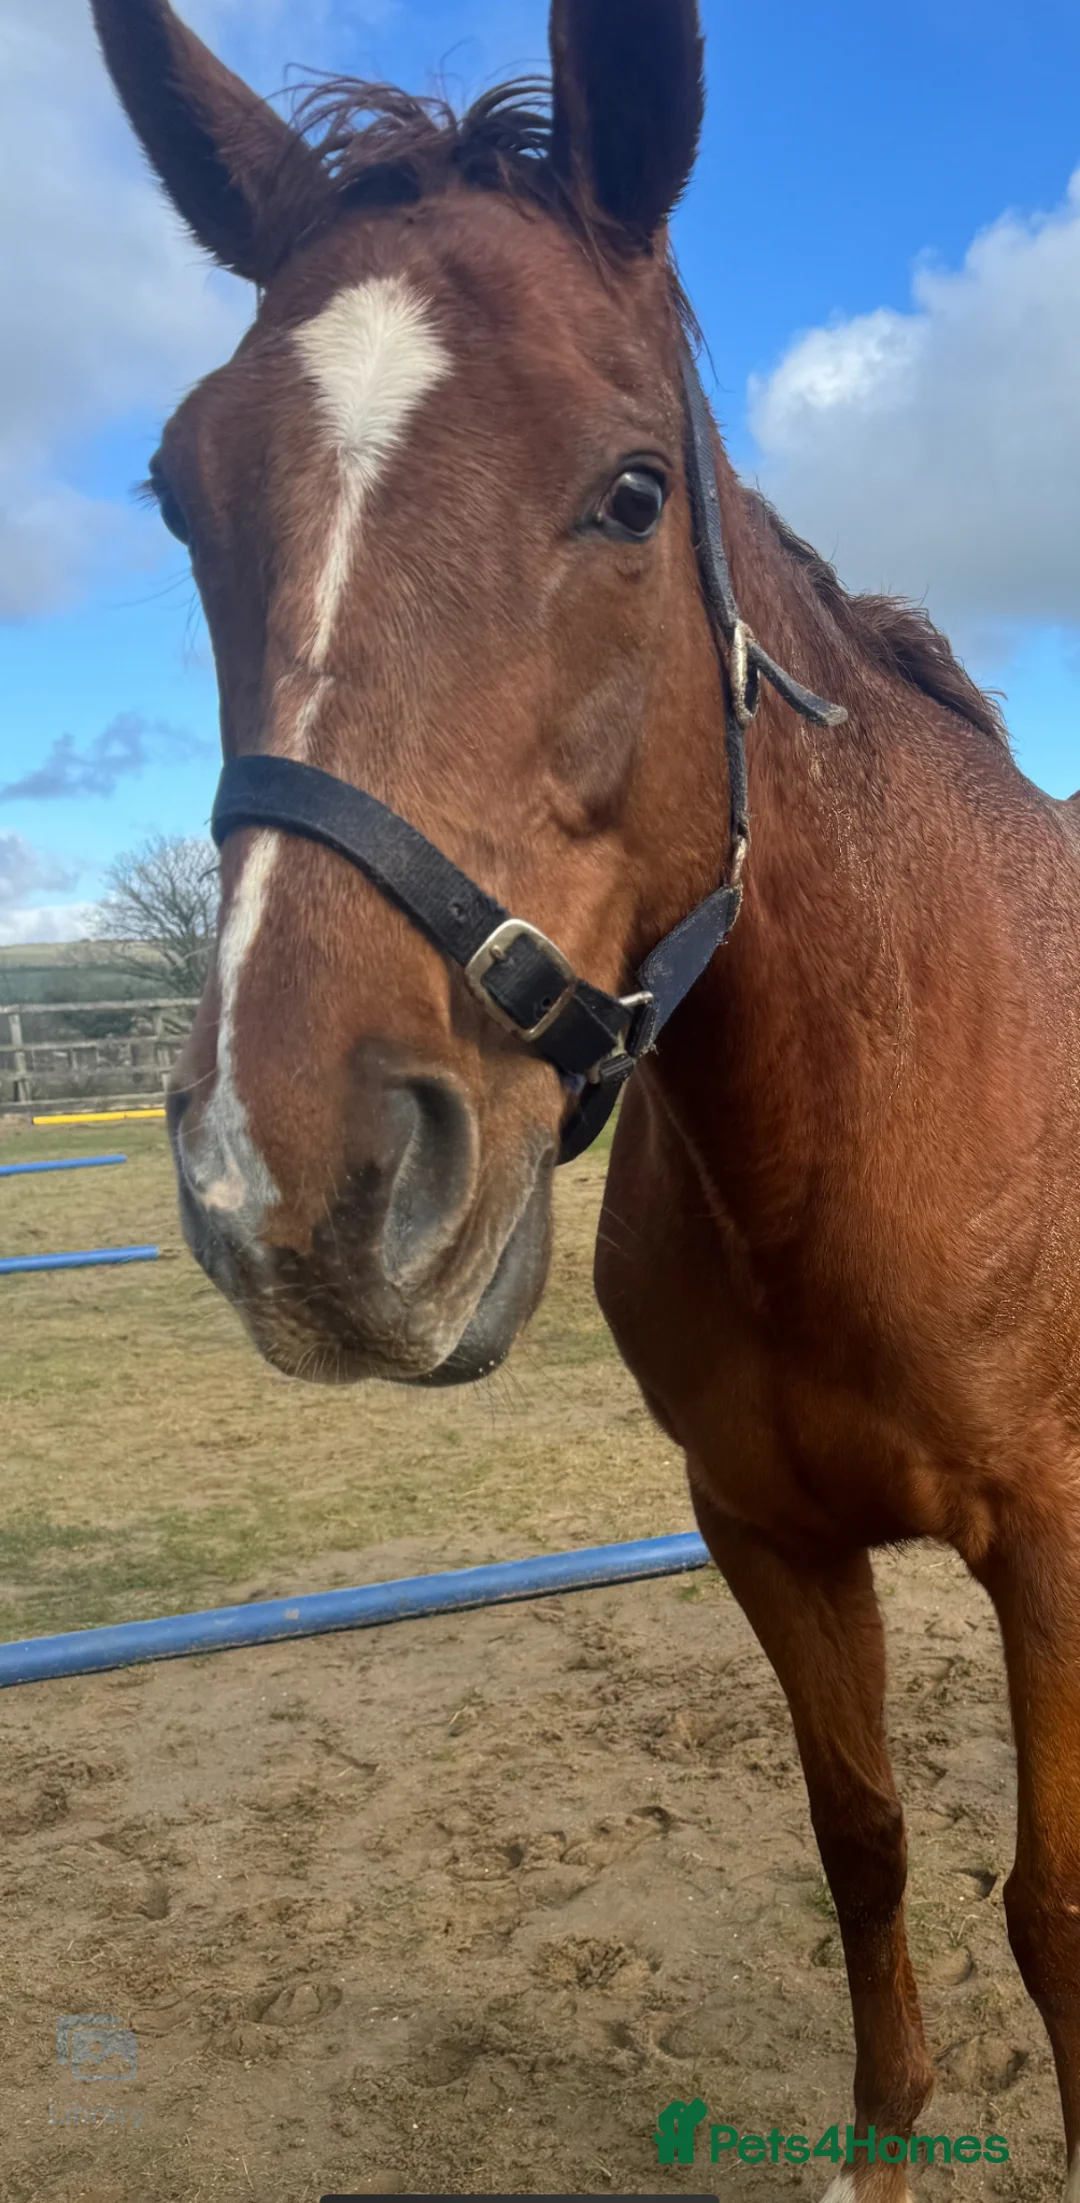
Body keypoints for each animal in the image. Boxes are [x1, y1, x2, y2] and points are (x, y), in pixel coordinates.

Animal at [92, 0, 1080, 2192]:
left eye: (633, 490)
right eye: (184, 494)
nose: (293, 1189)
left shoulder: (1058, 1541)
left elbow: (1056, 1900)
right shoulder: (762, 1532)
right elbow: (866, 1844)